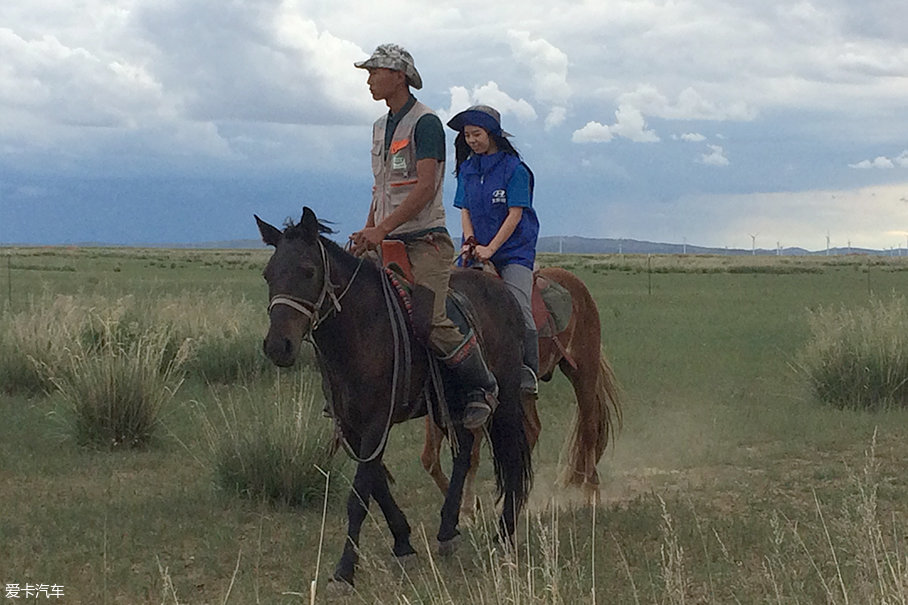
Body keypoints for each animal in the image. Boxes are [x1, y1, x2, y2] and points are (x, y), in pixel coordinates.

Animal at [254, 208, 532, 584]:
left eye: (308, 270)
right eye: (268, 274)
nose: (277, 346)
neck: (360, 329)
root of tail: (504, 294)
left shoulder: (376, 422)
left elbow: (359, 495)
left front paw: (344, 570)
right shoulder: (351, 427)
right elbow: (377, 486)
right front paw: (403, 542)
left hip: (505, 399)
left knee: (512, 459)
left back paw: (503, 534)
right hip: (450, 405)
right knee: (463, 453)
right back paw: (448, 529)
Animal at [422, 266, 620, 508]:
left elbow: (471, 455)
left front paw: (469, 507)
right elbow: (430, 458)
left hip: (583, 369)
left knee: (589, 427)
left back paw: (591, 492)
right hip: (524, 393)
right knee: (533, 429)